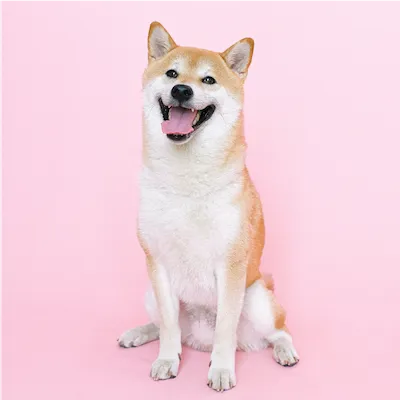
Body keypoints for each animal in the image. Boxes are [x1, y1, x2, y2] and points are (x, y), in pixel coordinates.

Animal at [117, 21, 298, 390]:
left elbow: (225, 330)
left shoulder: (231, 265)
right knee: (164, 327)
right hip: (150, 293)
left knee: (279, 330)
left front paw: (222, 370)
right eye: (172, 73)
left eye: (209, 80)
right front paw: (167, 361)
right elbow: (168, 326)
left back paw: (284, 351)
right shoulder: (157, 264)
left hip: (257, 299)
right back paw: (138, 333)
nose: (182, 90)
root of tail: (198, 338)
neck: (185, 177)